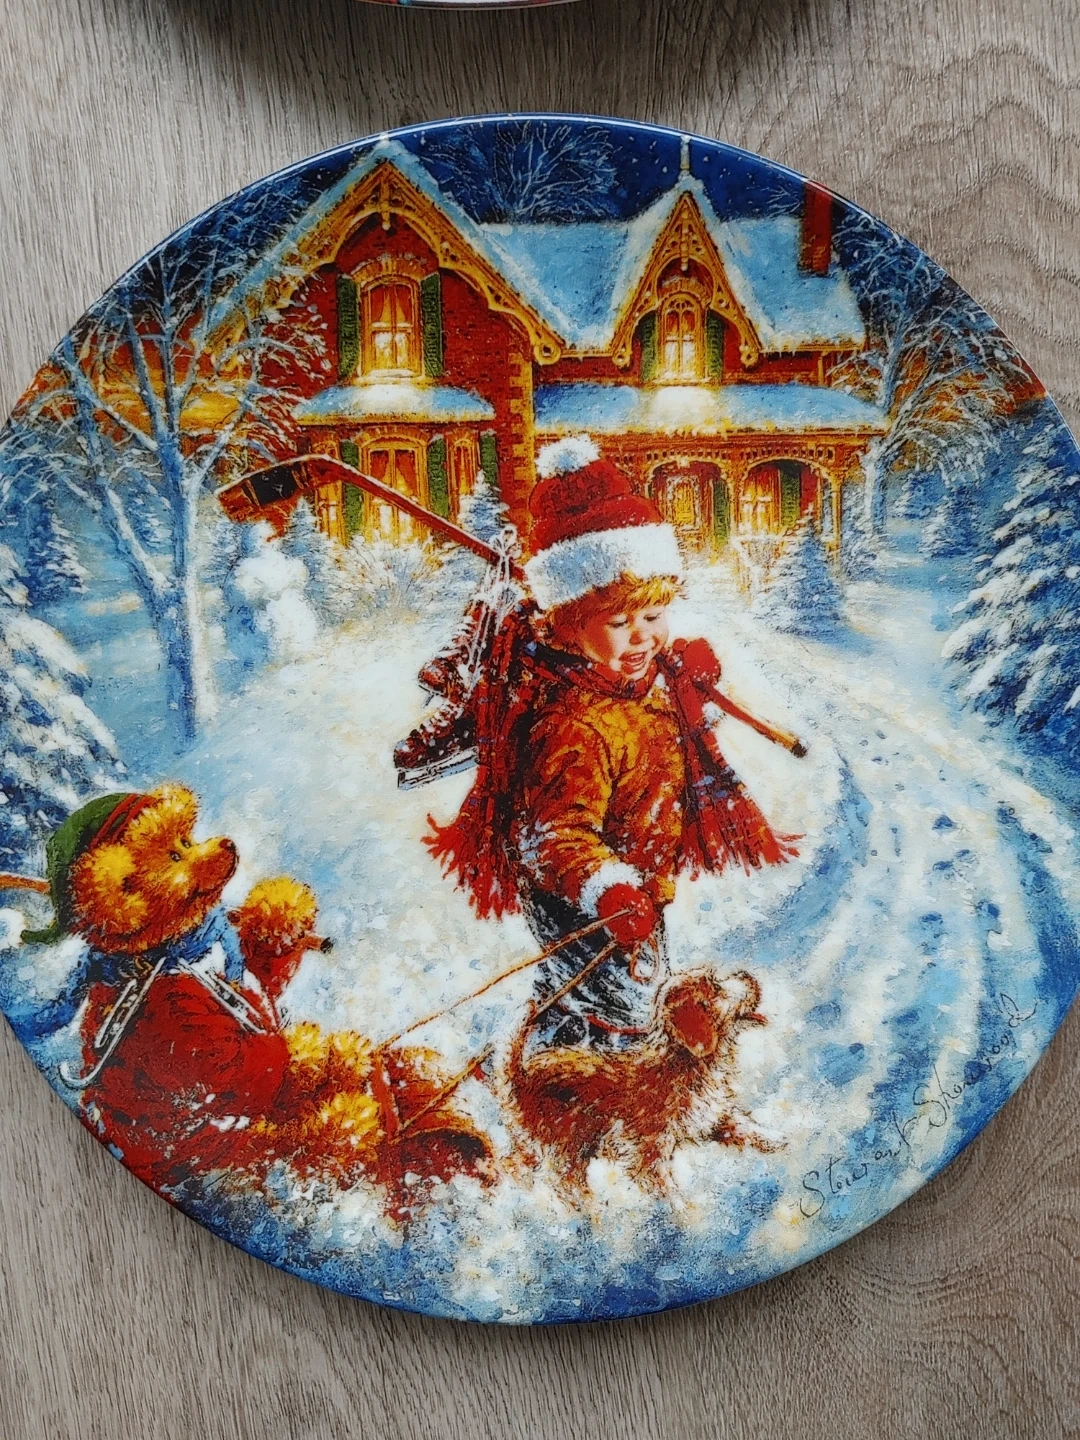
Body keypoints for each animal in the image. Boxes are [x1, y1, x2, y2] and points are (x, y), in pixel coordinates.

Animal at [505, 969, 772, 1197]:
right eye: (716, 986)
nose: (747, 975)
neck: (683, 1062)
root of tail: (521, 1074)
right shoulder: (647, 1154)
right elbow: (670, 1194)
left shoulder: (712, 1117)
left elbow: (750, 1129)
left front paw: (777, 1141)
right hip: (564, 1151)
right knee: (565, 1184)